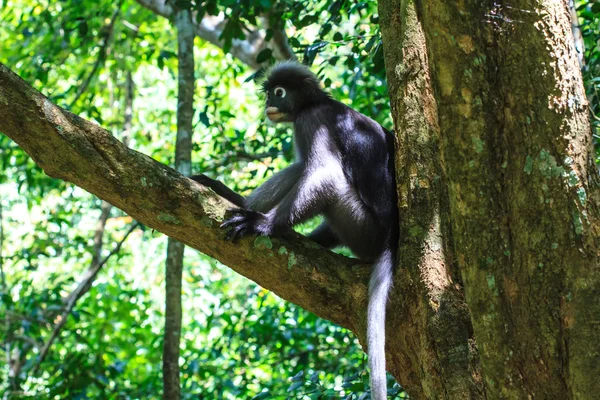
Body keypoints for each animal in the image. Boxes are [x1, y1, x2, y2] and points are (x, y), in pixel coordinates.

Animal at [192, 61, 398, 398]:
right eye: (268, 94)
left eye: (278, 92)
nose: (268, 103)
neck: (316, 102)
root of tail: (392, 239)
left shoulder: (310, 121)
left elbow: (326, 176)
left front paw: (262, 224)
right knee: (300, 169)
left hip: (362, 229)